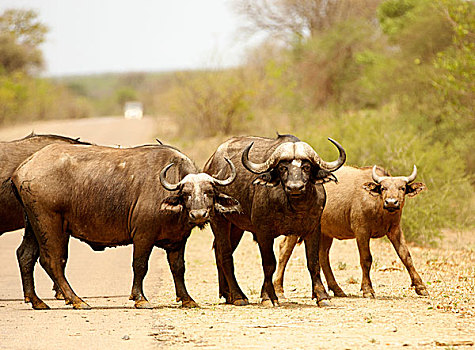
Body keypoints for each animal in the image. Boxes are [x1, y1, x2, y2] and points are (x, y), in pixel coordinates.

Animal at [10, 142, 242, 308]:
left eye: (209, 192)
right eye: (186, 194)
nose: (199, 214)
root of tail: (23, 168)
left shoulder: (178, 240)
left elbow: (178, 268)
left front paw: (187, 299)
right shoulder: (143, 236)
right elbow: (140, 265)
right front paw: (139, 298)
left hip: (33, 225)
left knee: (26, 255)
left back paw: (37, 301)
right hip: (50, 225)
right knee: (52, 261)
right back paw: (77, 300)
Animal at [204, 134, 346, 306]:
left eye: (306, 167)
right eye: (283, 168)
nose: (295, 187)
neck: (293, 206)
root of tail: (210, 164)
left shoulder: (313, 229)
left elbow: (313, 262)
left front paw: (322, 296)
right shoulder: (263, 233)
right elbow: (269, 264)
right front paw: (268, 297)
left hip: (236, 227)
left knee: (220, 252)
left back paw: (227, 294)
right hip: (219, 220)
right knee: (225, 255)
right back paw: (238, 296)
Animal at [274, 165, 430, 300]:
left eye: (402, 188)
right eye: (383, 188)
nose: (391, 202)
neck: (379, 207)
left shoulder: (395, 230)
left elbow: (406, 256)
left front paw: (421, 287)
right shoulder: (361, 231)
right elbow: (366, 259)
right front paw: (368, 289)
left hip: (325, 232)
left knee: (323, 256)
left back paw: (336, 289)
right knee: (284, 251)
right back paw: (279, 290)